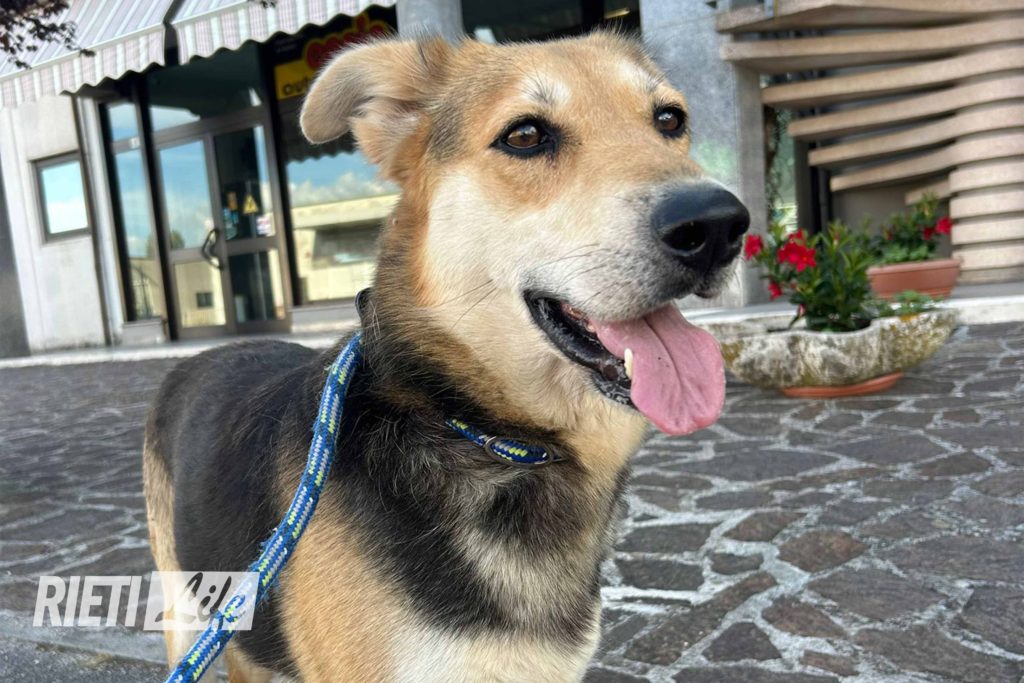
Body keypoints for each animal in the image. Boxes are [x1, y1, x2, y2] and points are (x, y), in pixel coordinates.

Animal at [143, 32, 749, 682]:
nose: (718, 225)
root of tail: (205, 355)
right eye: (525, 135)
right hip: (184, 614)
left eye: (670, 120)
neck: (472, 427)